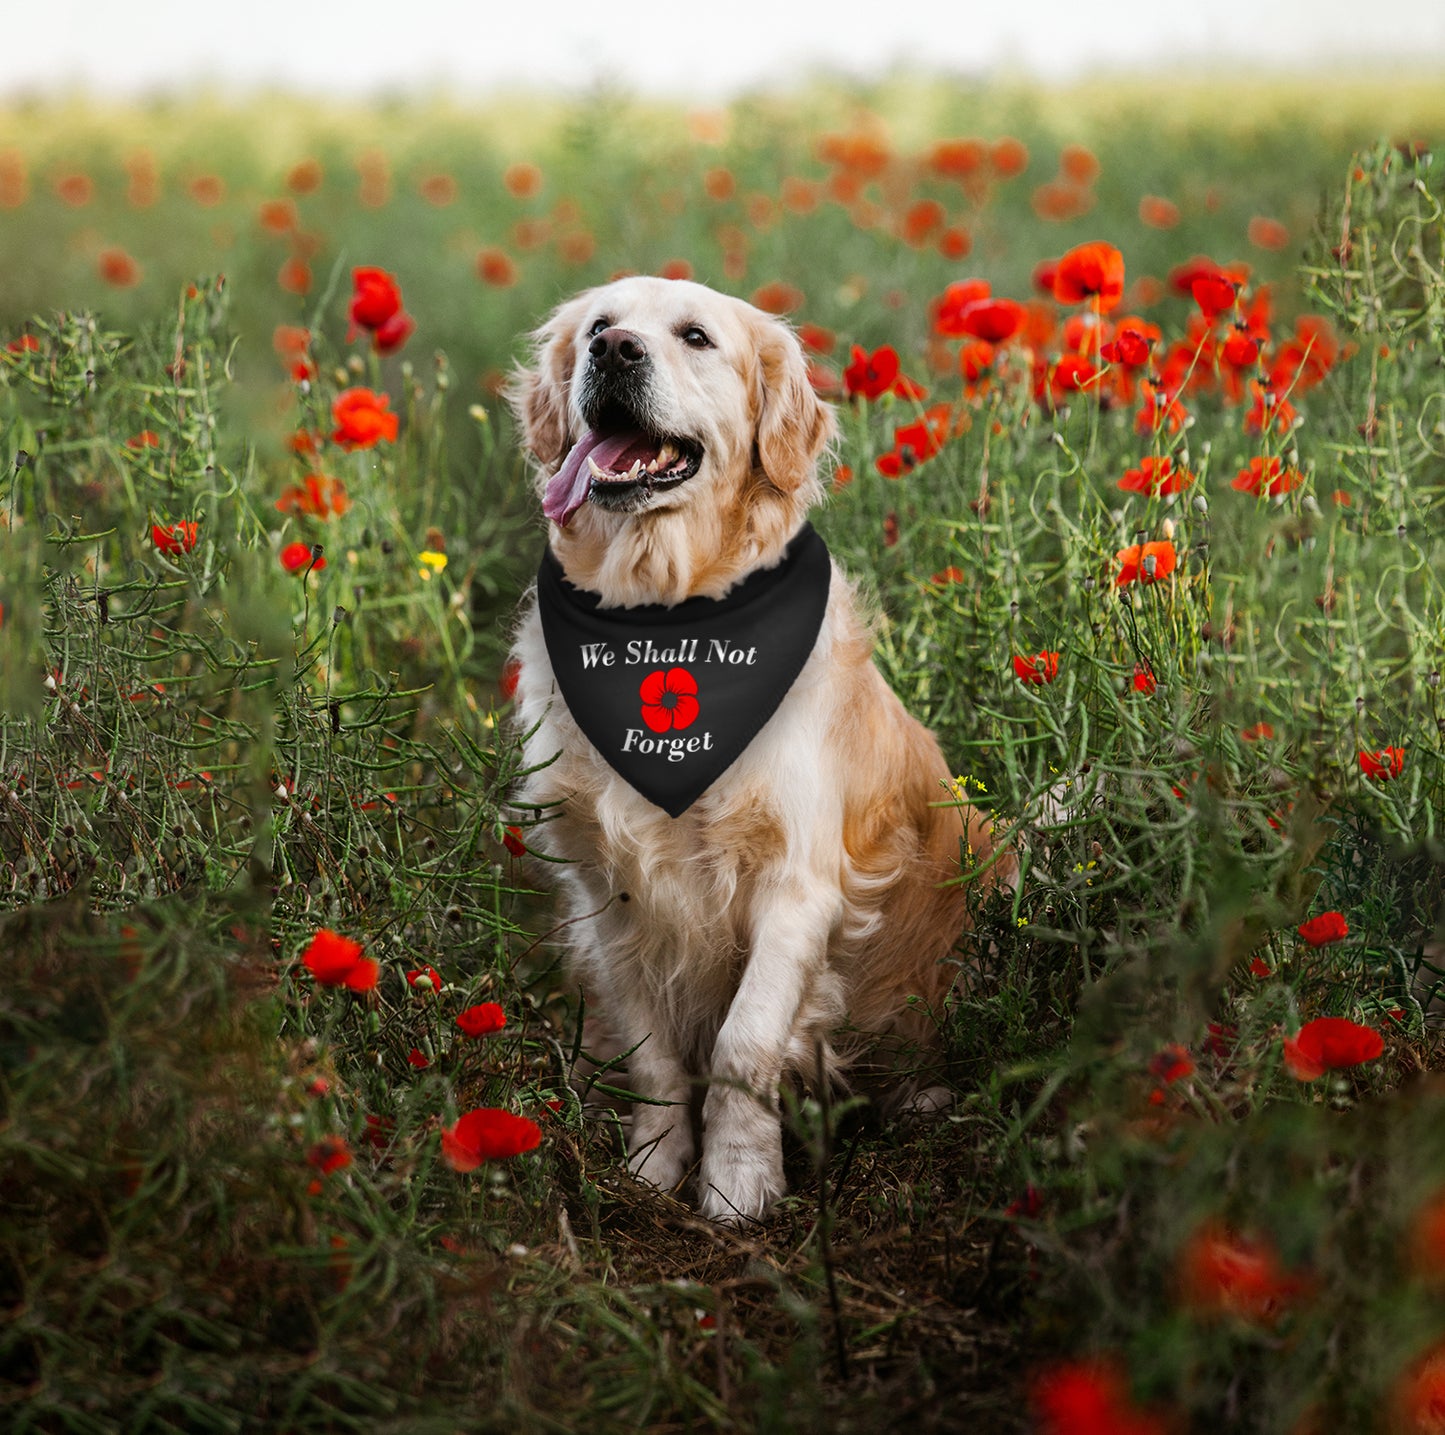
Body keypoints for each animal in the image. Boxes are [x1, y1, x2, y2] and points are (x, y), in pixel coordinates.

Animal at [508, 280, 1017, 1219]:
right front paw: (655, 1164)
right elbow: (651, 1051)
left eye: (696, 337)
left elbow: (743, 1043)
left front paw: (740, 1182)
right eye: (599, 325)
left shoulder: (798, 882)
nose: (614, 352)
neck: (666, 615)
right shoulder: (609, 895)